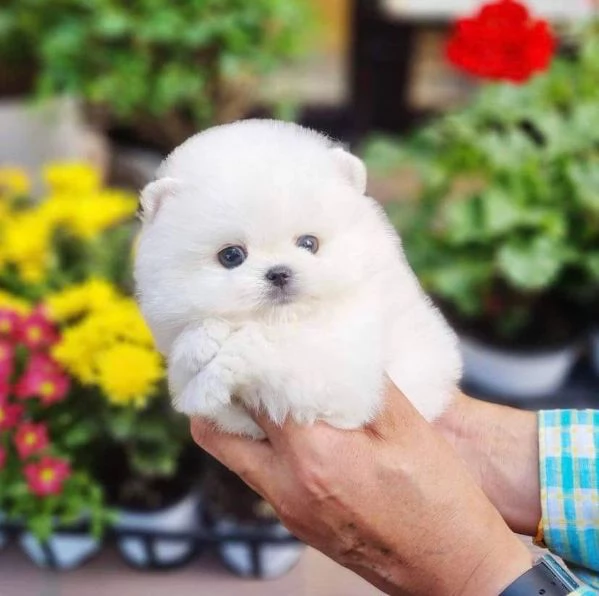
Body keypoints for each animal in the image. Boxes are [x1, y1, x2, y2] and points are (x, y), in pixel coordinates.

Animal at [136, 120, 462, 438]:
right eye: (231, 256)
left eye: (309, 243)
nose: (279, 273)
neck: (288, 320)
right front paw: (198, 343)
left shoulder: (342, 372)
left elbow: (266, 347)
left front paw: (212, 378)